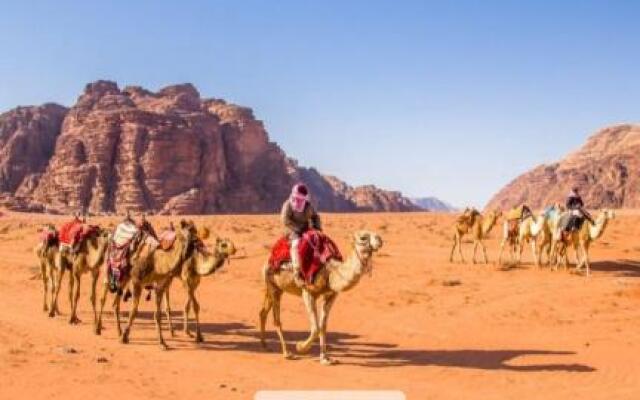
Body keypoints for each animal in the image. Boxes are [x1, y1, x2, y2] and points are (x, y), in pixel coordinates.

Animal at [95, 220, 198, 348]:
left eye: (195, 232)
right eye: (184, 233)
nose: (194, 243)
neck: (157, 263)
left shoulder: (159, 286)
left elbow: (158, 315)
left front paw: (162, 343)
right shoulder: (137, 282)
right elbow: (133, 312)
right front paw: (125, 337)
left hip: (125, 276)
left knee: (115, 303)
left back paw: (119, 330)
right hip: (109, 269)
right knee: (103, 298)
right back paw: (98, 328)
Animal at [258, 230, 382, 364]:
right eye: (363, 237)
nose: (380, 240)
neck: (331, 272)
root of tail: (268, 260)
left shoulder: (330, 295)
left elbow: (323, 326)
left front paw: (325, 358)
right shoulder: (307, 292)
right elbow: (316, 328)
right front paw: (300, 347)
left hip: (276, 287)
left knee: (263, 312)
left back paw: (264, 345)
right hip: (273, 285)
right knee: (276, 319)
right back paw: (287, 353)